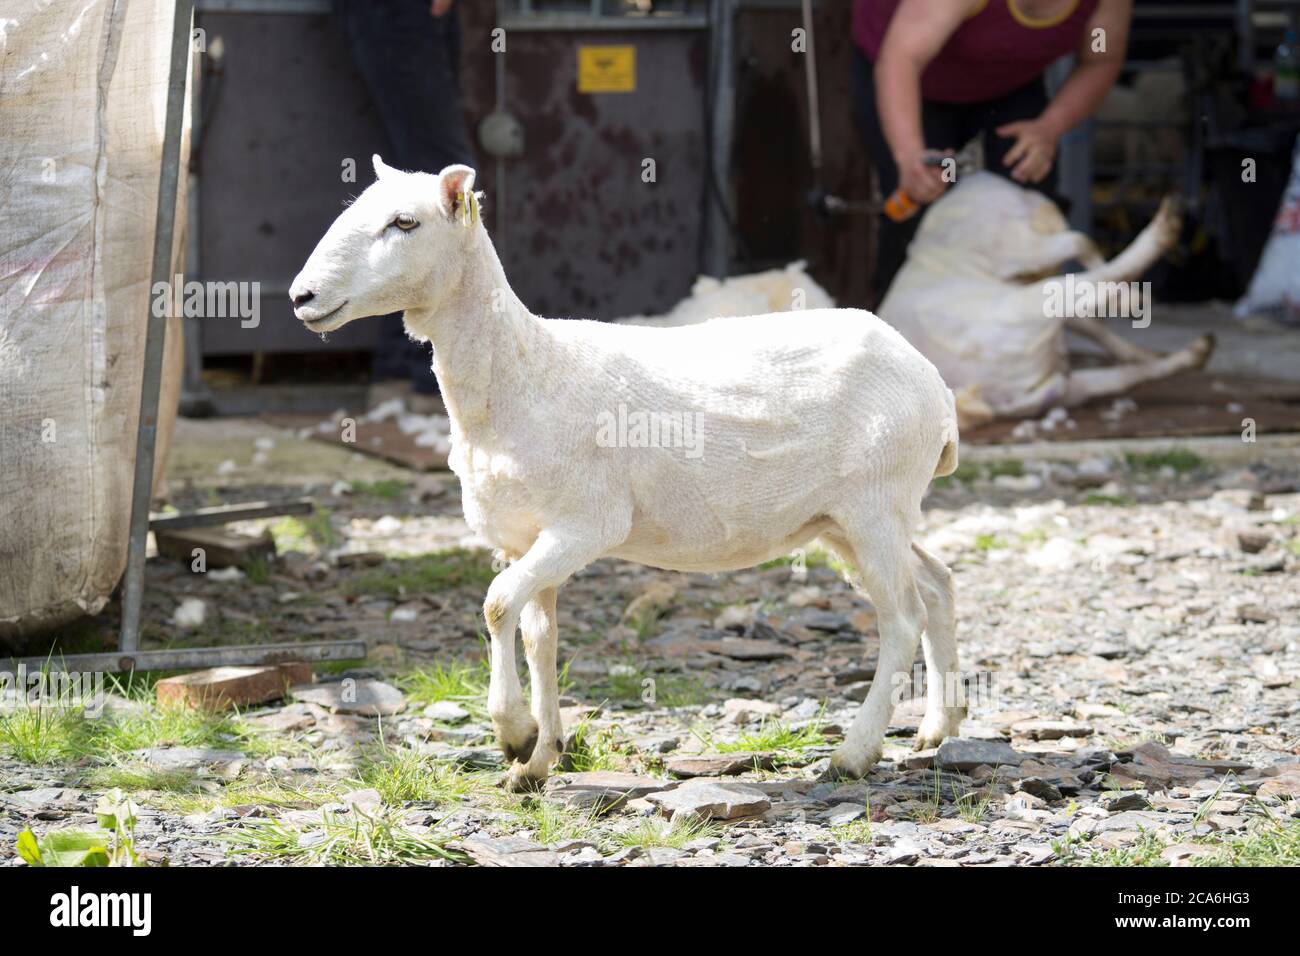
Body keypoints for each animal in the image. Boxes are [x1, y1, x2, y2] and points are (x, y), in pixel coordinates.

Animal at [291, 157, 964, 790]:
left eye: (405, 223)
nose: (302, 297)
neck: (521, 373)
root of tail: (933, 382)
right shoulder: (522, 537)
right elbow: (537, 633)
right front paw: (541, 757)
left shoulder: (586, 524)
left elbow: (497, 605)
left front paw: (514, 732)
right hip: (846, 517)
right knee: (936, 583)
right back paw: (940, 724)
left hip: (875, 503)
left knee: (902, 619)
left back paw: (853, 755)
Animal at [879, 172, 1214, 430]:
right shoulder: (1017, 249)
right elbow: (1080, 245)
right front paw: (1130, 300)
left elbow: (1094, 326)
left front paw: (1133, 328)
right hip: (1026, 307)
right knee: (1091, 268)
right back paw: (1165, 225)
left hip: (1064, 382)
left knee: (1126, 374)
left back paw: (1194, 352)